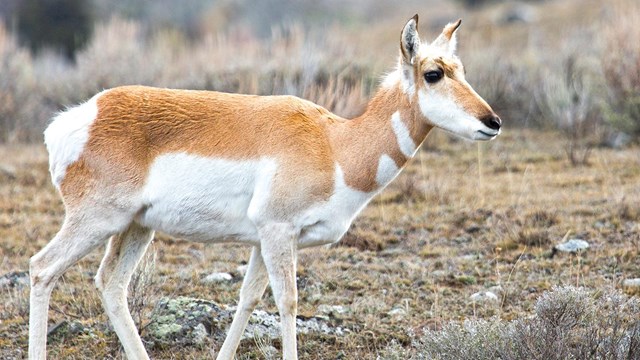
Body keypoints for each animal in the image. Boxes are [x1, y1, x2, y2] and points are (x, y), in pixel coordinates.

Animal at [28, 14, 500, 360]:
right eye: (434, 73)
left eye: (461, 69)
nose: (492, 122)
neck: (334, 144)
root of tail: (78, 117)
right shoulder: (278, 232)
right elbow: (288, 301)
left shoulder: (261, 241)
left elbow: (248, 299)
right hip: (97, 221)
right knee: (41, 268)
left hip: (136, 228)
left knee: (111, 284)